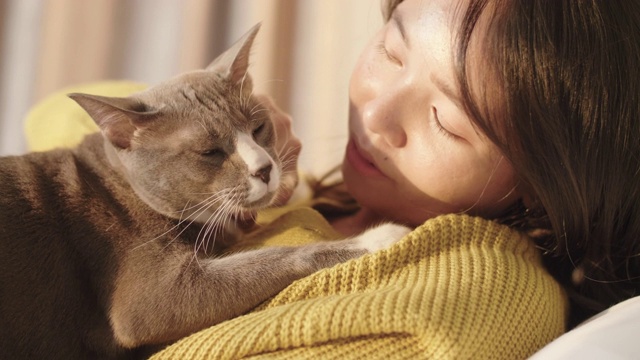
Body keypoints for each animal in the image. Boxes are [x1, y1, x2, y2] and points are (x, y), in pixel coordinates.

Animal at [0, 23, 410, 358]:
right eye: (210, 152)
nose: (264, 168)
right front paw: (379, 237)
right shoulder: (147, 294)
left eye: (259, 127)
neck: (119, 186)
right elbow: (274, 258)